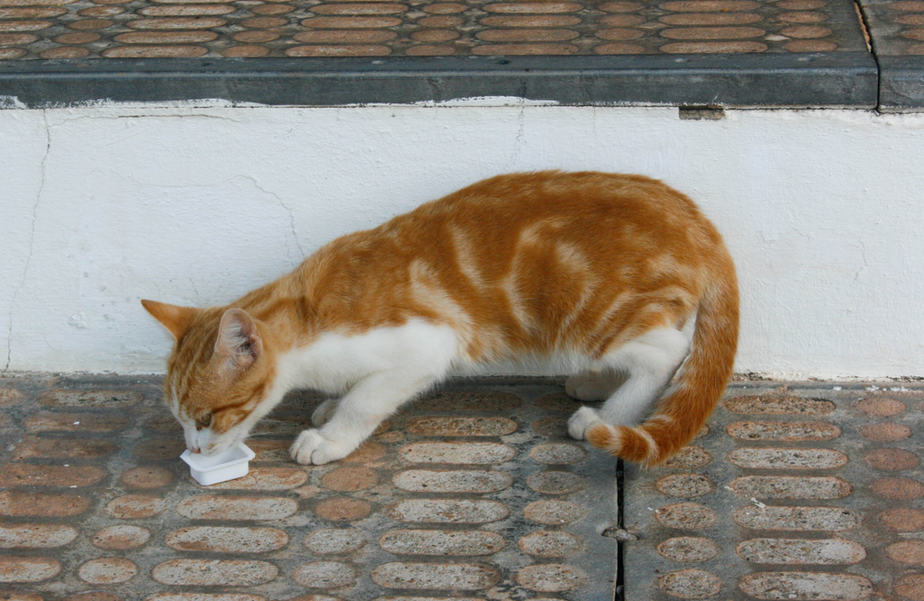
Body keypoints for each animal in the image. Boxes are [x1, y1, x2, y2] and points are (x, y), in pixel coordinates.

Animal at [143, 171, 736, 466]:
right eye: (180, 419)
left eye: (206, 418)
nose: (192, 450)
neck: (306, 318)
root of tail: (697, 221)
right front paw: (330, 406)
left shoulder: (426, 344)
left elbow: (366, 400)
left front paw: (331, 436)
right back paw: (596, 382)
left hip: (588, 312)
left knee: (667, 352)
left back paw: (607, 413)